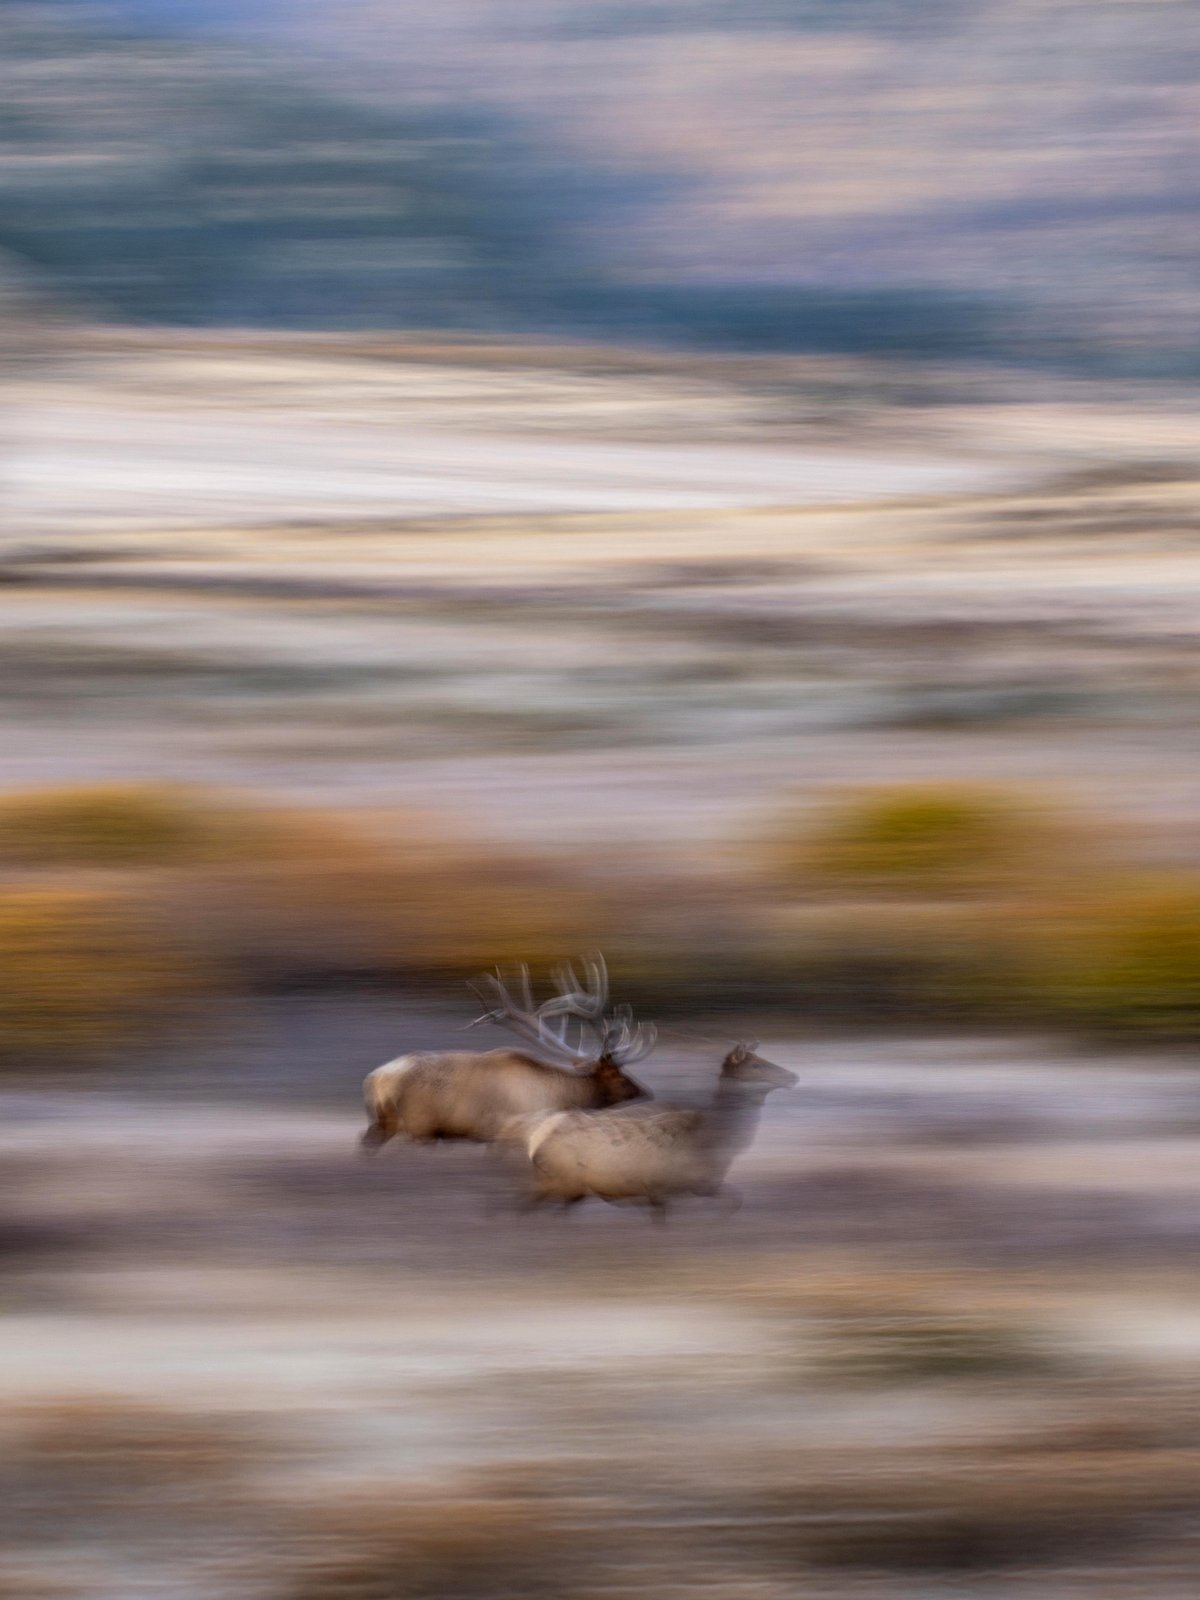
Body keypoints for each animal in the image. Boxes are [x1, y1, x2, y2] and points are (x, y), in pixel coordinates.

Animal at [361, 954, 656, 1152]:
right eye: (618, 1074)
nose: (645, 1091)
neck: (562, 1096)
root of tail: (376, 1079)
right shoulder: (510, 1127)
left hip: (383, 1124)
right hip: (418, 1125)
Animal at [503, 1040, 796, 1221]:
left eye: (763, 1059)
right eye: (757, 1064)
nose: (793, 1076)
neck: (717, 1143)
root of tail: (535, 1135)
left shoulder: (693, 1187)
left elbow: (735, 1200)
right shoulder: (668, 1185)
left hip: (561, 1183)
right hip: (560, 1178)